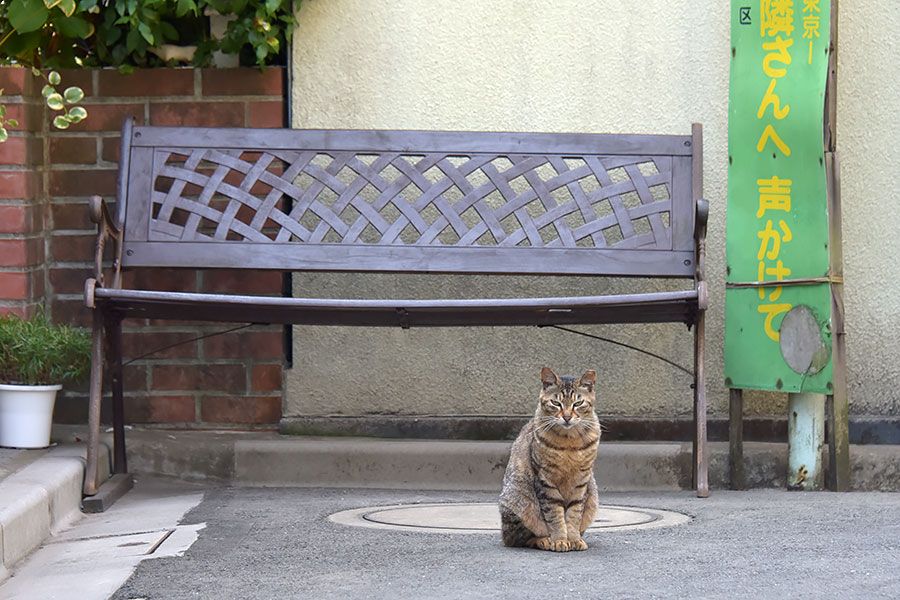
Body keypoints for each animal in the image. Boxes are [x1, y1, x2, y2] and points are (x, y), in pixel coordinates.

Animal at [496, 368, 600, 552]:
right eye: (556, 403)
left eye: (578, 403)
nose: (567, 417)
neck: (569, 443)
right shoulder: (546, 481)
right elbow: (555, 516)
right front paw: (560, 540)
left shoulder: (581, 482)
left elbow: (574, 514)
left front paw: (573, 539)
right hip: (520, 502)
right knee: (519, 539)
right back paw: (544, 540)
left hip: (592, 497)